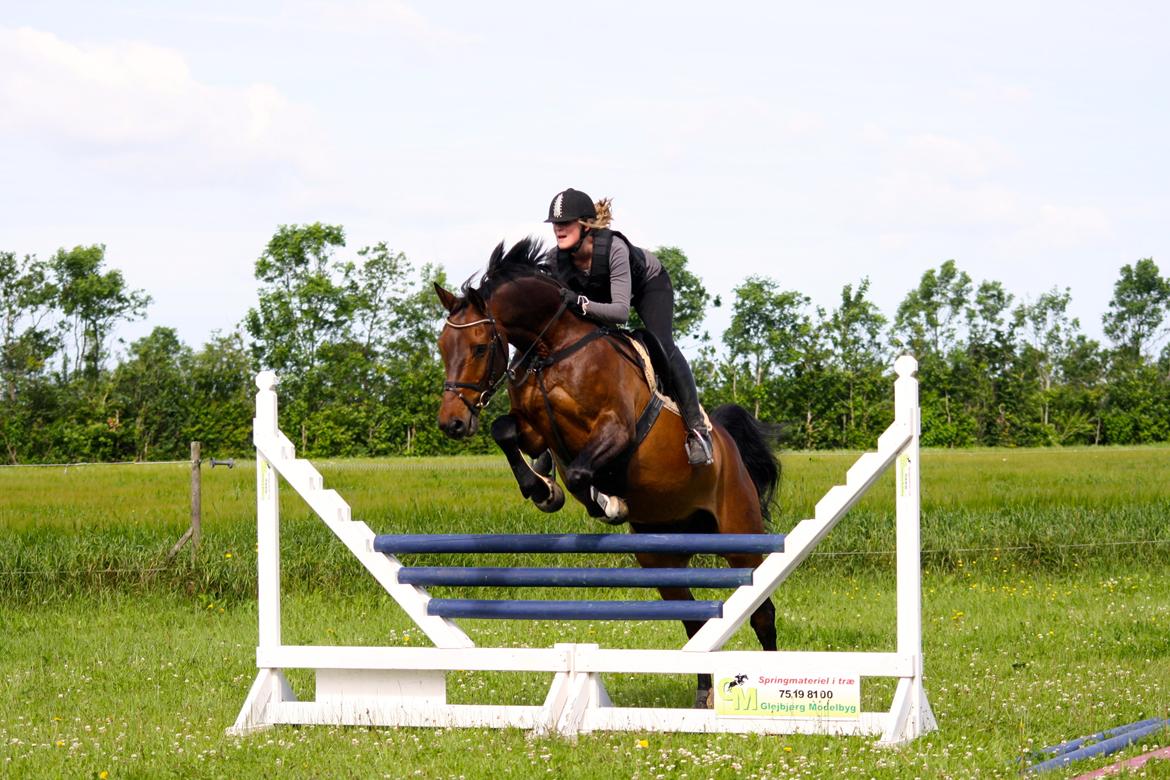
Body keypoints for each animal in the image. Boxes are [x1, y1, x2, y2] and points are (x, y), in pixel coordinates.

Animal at [435, 236, 781, 706]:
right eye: (442, 347)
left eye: (480, 348)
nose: (451, 423)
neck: (553, 349)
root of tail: (730, 447)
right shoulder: (534, 431)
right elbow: (506, 432)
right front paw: (543, 489)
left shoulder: (616, 430)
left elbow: (582, 473)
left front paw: (606, 501)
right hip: (661, 557)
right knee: (695, 623)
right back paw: (703, 695)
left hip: (739, 536)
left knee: (762, 611)